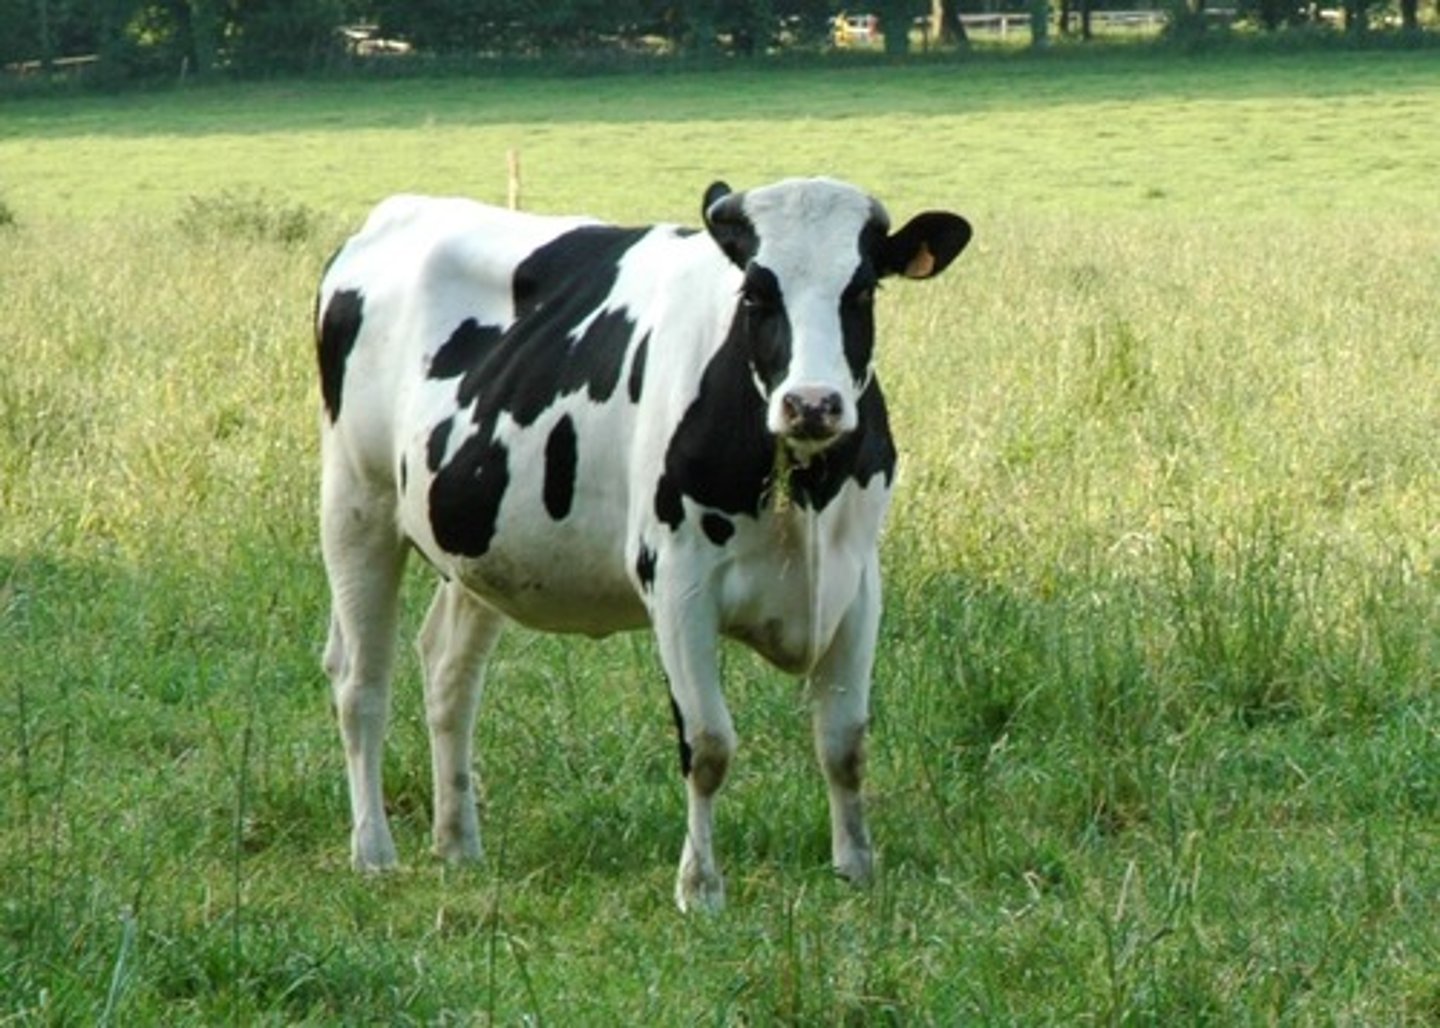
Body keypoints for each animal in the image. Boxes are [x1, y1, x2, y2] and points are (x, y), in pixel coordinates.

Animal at [314, 176, 971, 912]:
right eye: (755, 292)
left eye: (861, 291)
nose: (812, 404)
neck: (801, 485)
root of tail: (399, 210)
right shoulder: (679, 583)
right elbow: (708, 745)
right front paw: (700, 888)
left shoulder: (856, 582)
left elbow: (845, 742)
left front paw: (856, 869)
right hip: (357, 501)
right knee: (361, 681)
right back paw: (373, 851)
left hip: (478, 543)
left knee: (449, 672)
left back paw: (457, 843)